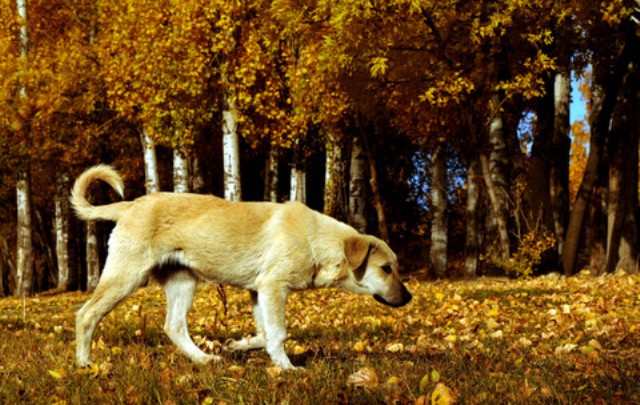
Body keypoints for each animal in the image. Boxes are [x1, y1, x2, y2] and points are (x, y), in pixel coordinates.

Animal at [69, 165, 410, 370]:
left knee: (174, 327)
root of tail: (131, 205)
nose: (408, 298)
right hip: (125, 277)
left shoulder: (259, 292)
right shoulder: (273, 288)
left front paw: (237, 345)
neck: (318, 240)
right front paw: (287, 368)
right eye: (386, 269)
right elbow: (279, 333)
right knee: (86, 315)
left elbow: (265, 334)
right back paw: (85, 364)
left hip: (183, 283)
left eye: (394, 267)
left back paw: (205, 359)